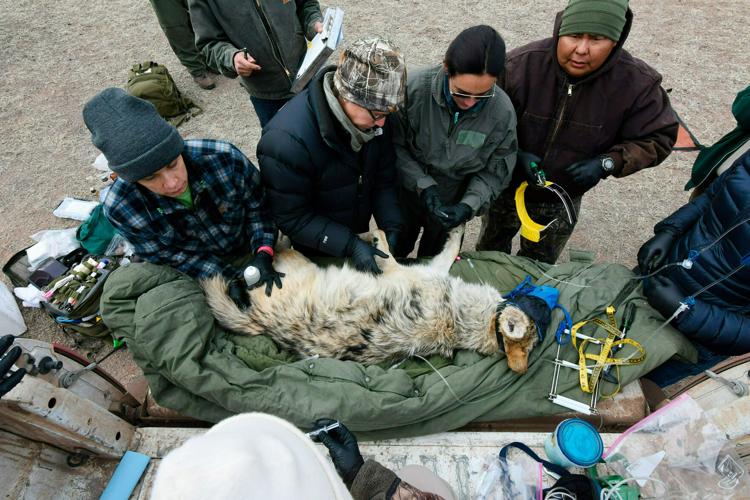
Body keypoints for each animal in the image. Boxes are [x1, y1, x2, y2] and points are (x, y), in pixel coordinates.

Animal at [203, 226, 539, 373]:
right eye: (533, 299)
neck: (459, 320)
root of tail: (260, 324)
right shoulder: (428, 268)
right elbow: (447, 249)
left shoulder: (398, 269)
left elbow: (383, 237)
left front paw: (366, 238)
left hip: (296, 263)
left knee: (277, 248)